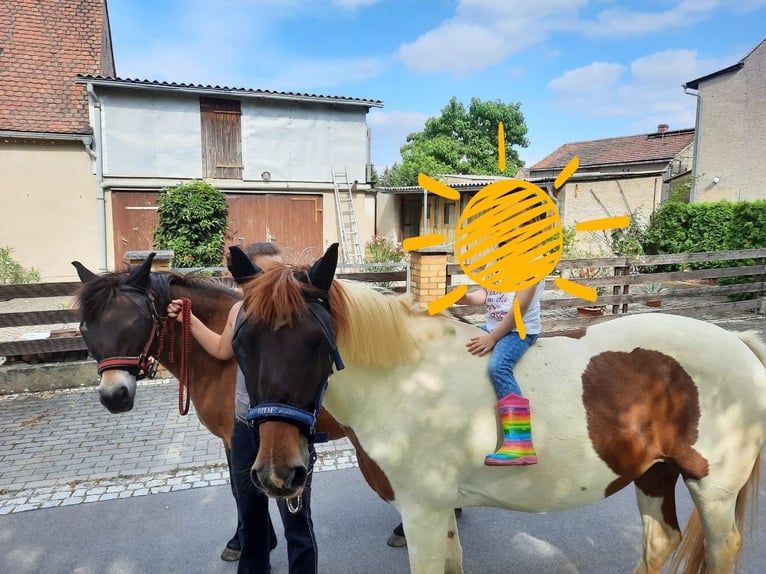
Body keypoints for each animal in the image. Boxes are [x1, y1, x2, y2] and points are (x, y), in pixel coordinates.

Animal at [236, 245, 766, 572]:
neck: (407, 378)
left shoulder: (422, 513)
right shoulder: (439, 511)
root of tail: (737, 343)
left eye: (316, 344)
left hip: (713, 491)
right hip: (654, 472)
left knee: (720, 550)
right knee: (660, 544)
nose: (277, 473)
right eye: (241, 344)